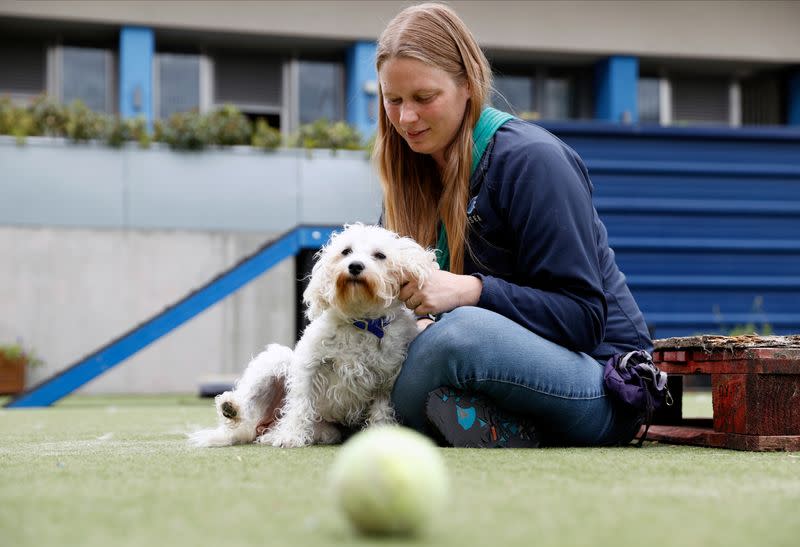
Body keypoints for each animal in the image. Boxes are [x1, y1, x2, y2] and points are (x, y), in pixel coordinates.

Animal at [188, 224, 434, 450]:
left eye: (380, 255)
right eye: (346, 251)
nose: (355, 266)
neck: (359, 321)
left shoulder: (386, 380)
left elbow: (381, 412)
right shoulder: (309, 366)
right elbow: (299, 404)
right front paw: (290, 436)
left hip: (326, 431)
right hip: (276, 361)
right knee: (248, 401)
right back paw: (234, 408)